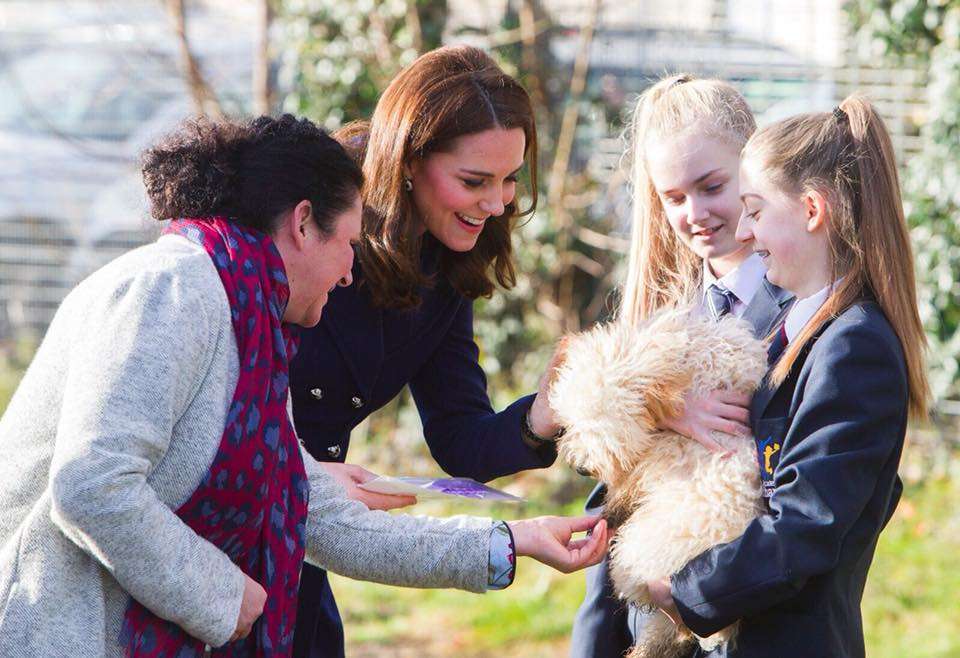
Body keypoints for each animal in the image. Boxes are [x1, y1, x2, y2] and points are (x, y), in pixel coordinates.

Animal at [552, 308, 768, 656]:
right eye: (573, 422)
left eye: (608, 438)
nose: (581, 468)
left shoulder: (661, 455)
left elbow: (625, 490)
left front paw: (608, 513)